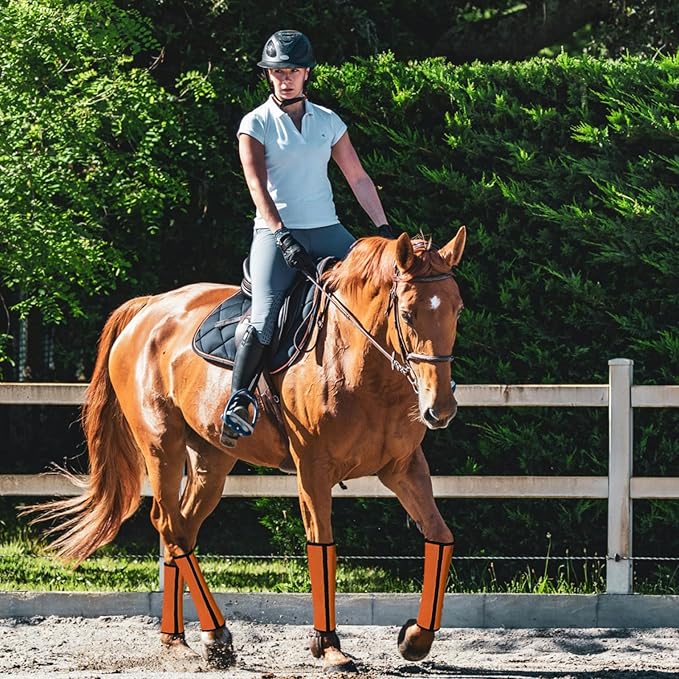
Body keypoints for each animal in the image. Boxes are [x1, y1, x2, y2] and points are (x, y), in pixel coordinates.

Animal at [33, 228, 466, 673]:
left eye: (458, 310)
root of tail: (148, 308)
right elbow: (322, 546)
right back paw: (218, 634)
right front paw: (328, 646)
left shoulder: (404, 467)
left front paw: (416, 638)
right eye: (409, 314)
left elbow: (441, 537)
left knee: (183, 528)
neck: (361, 367)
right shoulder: (313, 469)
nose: (440, 409)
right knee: (169, 524)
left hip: (210, 460)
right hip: (161, 445)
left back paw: (182, 639)